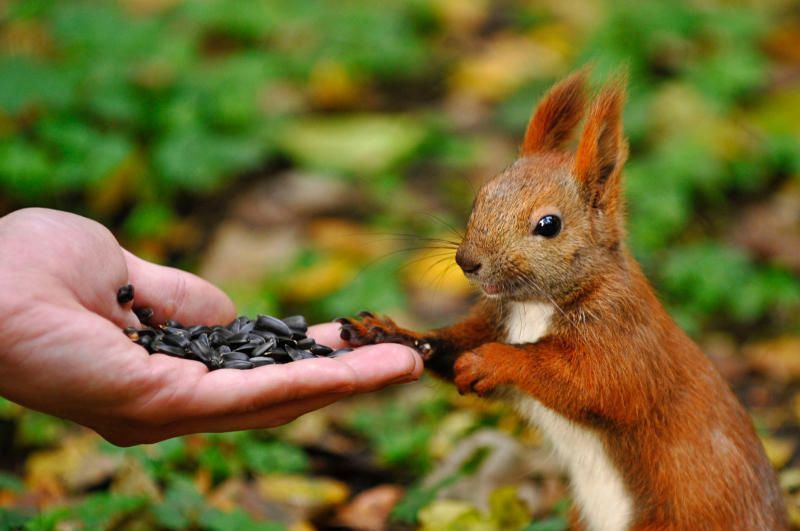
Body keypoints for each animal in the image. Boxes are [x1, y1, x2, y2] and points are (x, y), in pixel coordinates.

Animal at [336, 68, 788, 528]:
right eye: (482, 195)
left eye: (549, 224)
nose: (467, 261)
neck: (534, 306)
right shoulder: (494, 320)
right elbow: (447, 343)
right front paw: (385, 332)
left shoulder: (625, 338)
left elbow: (592, 384)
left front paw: (495, 360)